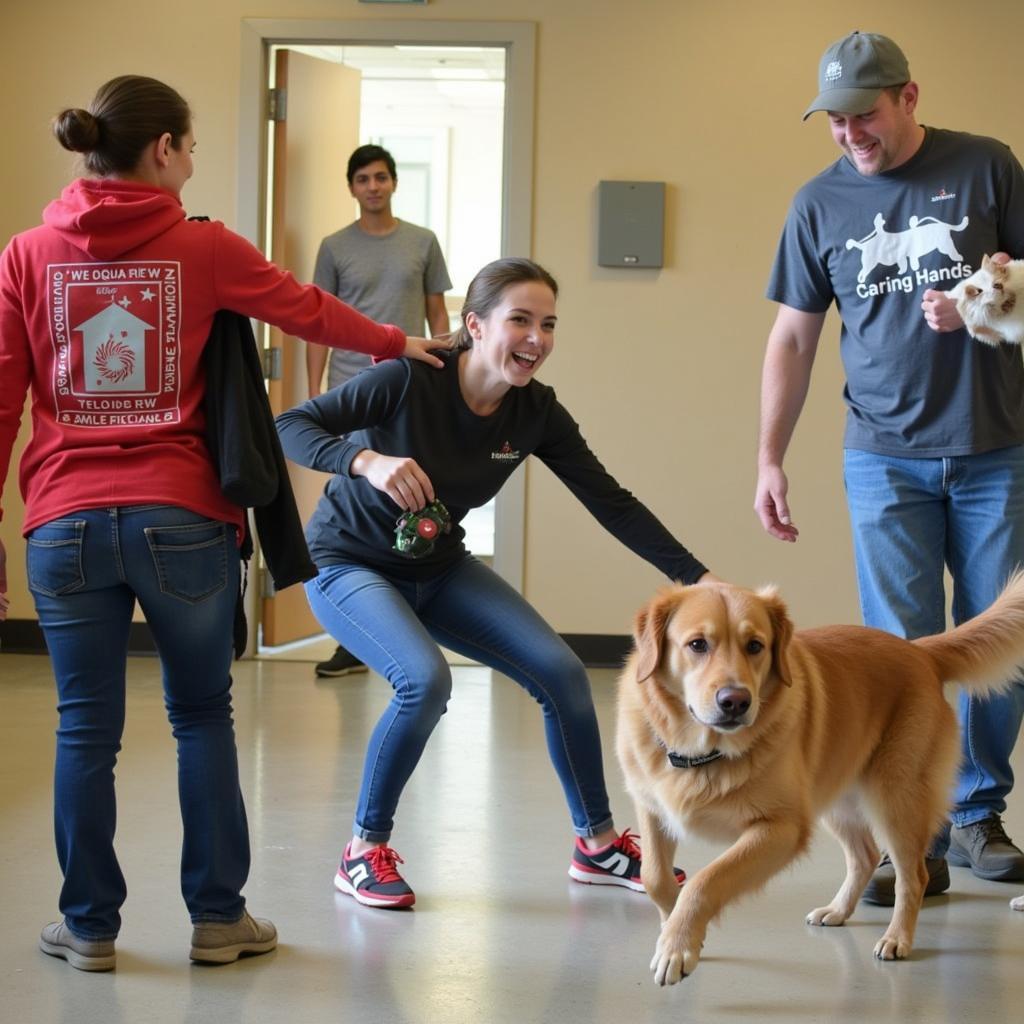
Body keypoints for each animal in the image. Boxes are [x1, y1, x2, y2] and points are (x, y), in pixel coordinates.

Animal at [610, 577, 1024, 983]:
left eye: (755, 646)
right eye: (697, 644)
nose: (736, 701)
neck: (702, 754)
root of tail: (920, 652)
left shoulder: (782, 828)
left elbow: (705, 880)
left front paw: (678, 942)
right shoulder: (652, 808)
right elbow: (656, 877)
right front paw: (676, 932)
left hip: (896, 799)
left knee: (914, 877)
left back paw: (897, 937)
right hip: (837, 798)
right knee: (865, 857)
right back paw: (838, 910)